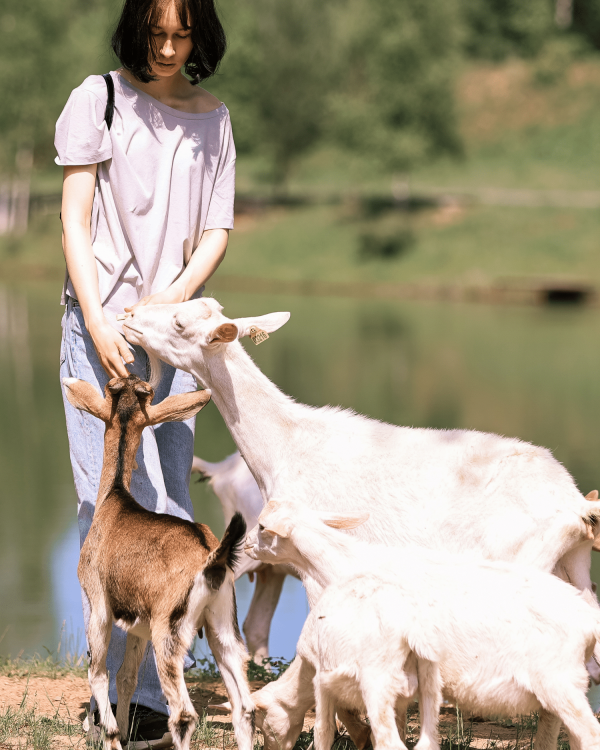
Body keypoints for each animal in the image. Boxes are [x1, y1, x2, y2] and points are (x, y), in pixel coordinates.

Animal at [62, 374, 254, 750]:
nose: (131, 377)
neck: (115, 498)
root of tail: (212, 557)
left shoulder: (99, 601)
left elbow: (99, 673)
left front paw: (111, 734)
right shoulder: (138, 624)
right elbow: (126, 676)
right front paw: (123, 732)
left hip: (170, 632)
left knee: (184, 715)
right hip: (223, 625)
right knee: (244, 708)